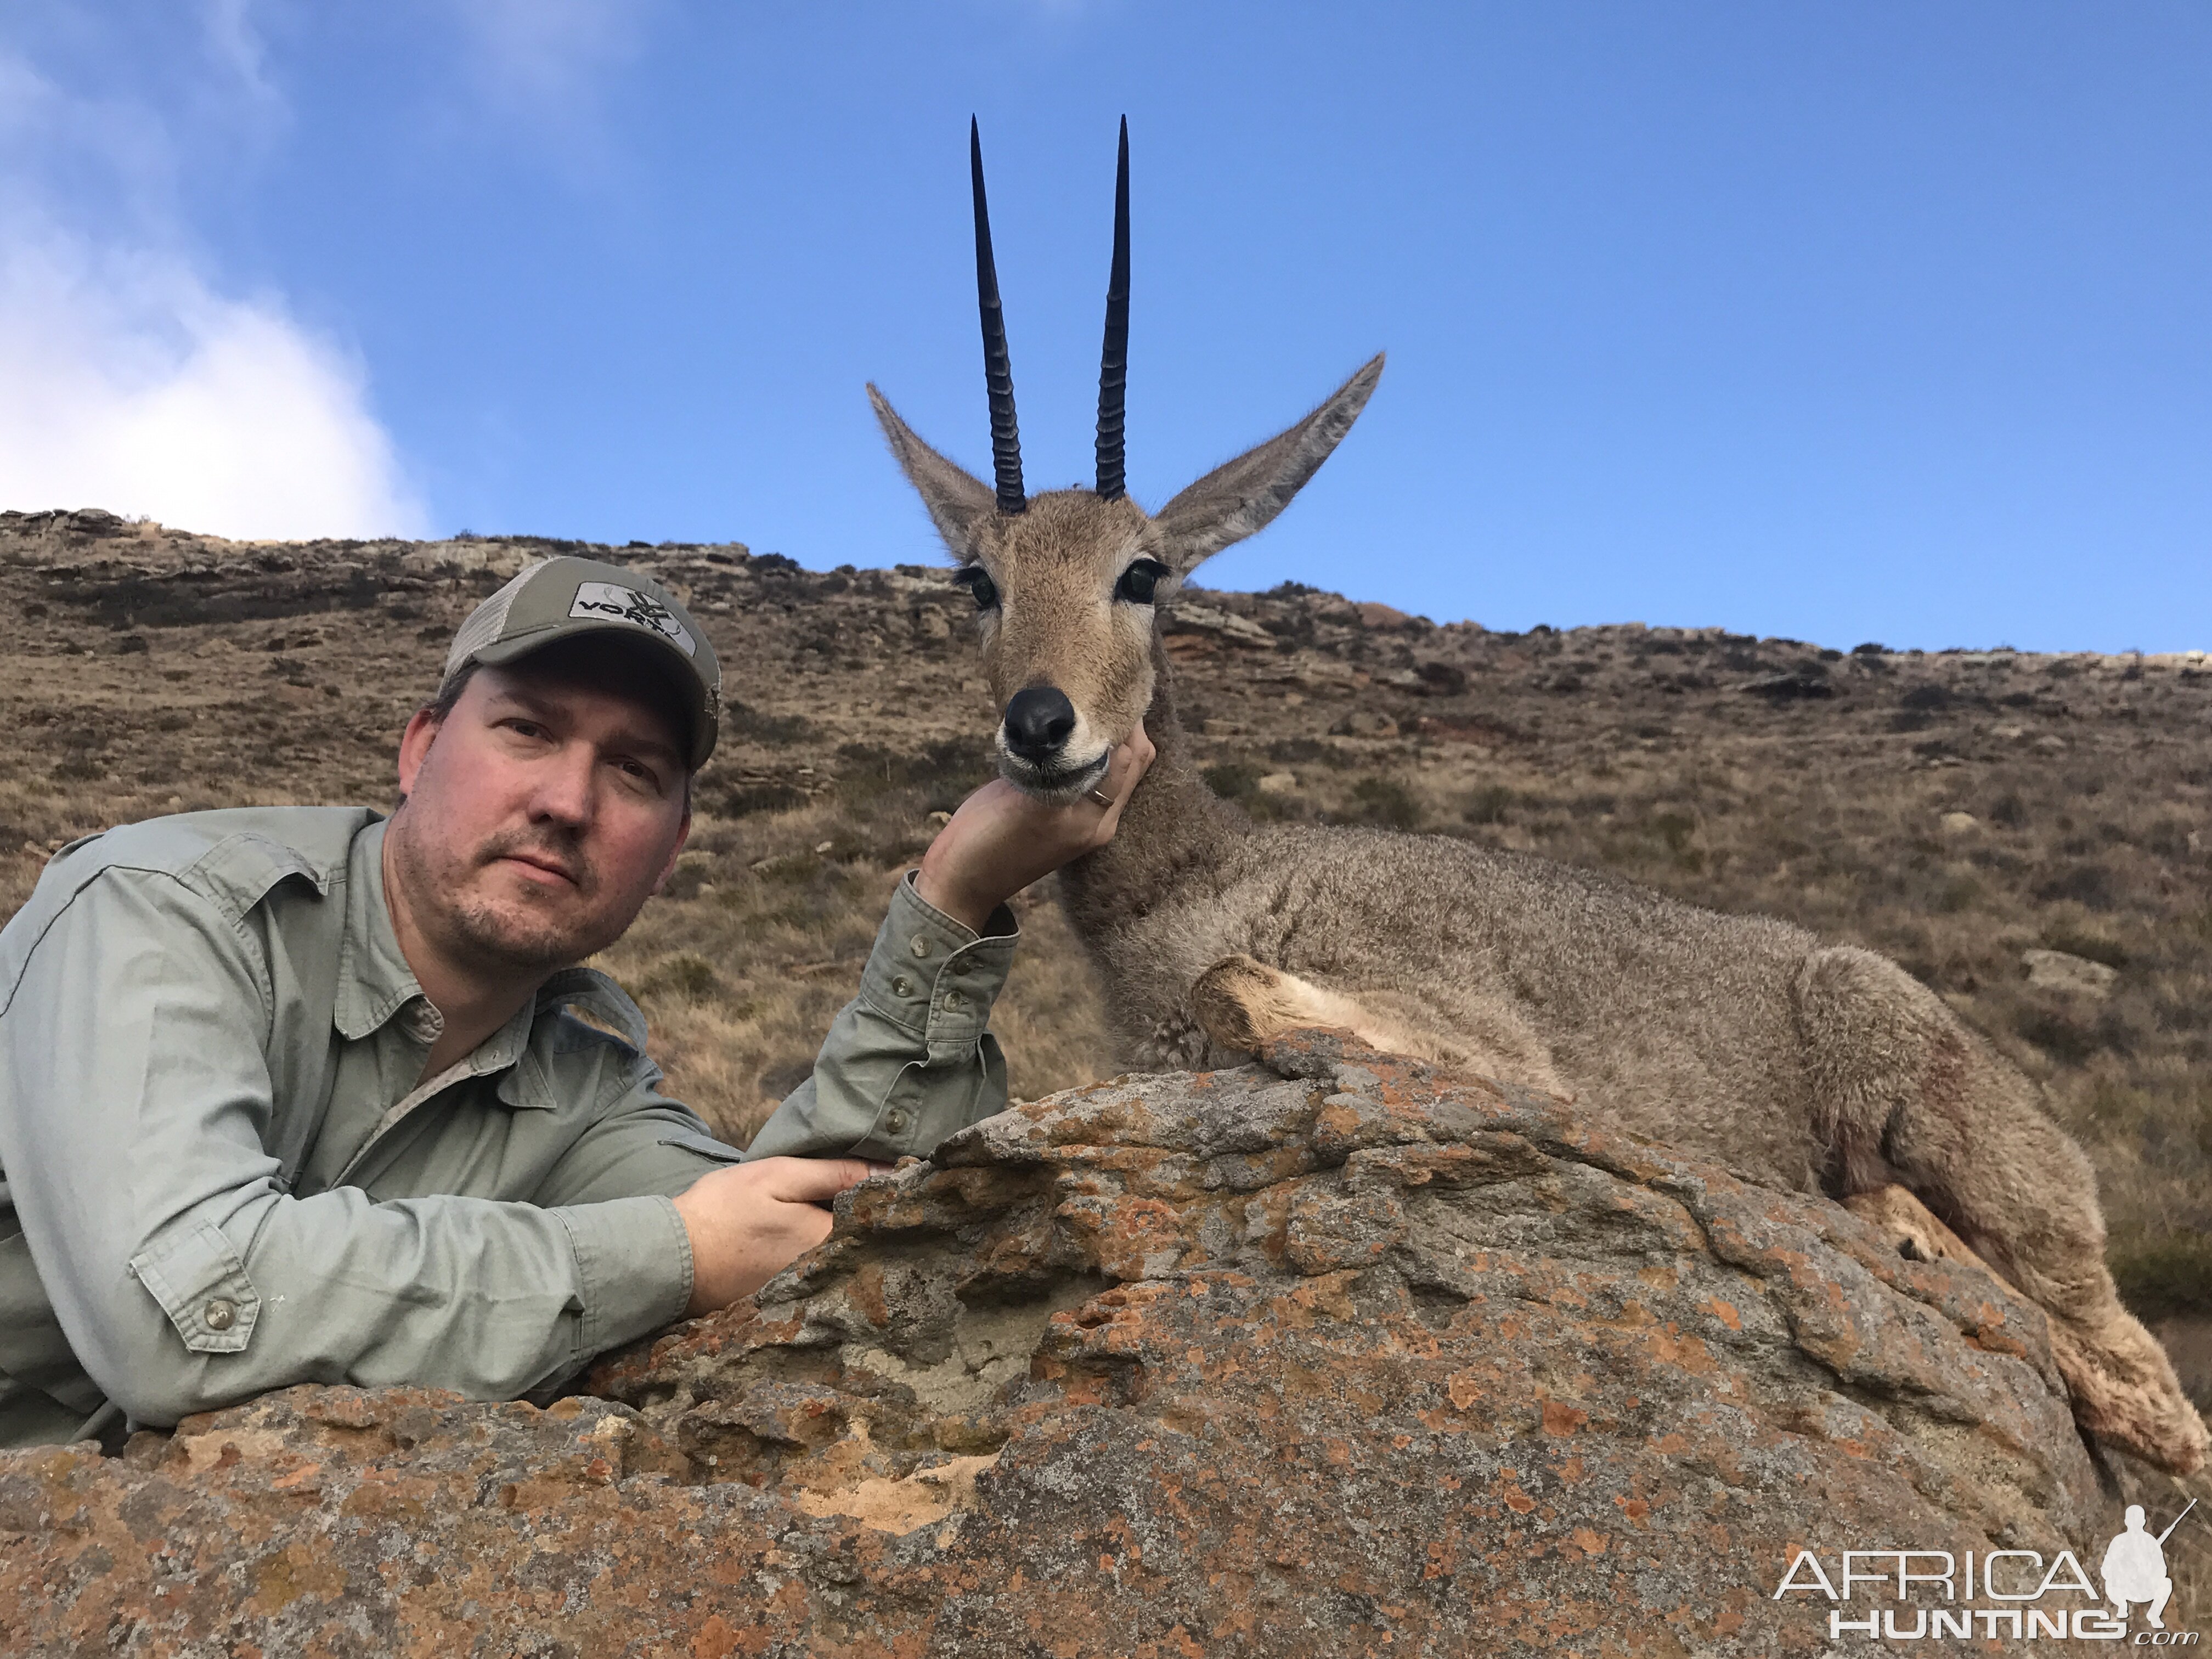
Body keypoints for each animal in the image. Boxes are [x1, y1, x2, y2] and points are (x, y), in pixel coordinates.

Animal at [858, 117, 2194, 1477]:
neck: (1197, 883)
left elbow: (1251, 994)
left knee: (2148, 1393)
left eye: (1143, 572)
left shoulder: (1466, 1026)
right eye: (978, 582)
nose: (1042, 726)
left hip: (1978, 1158)